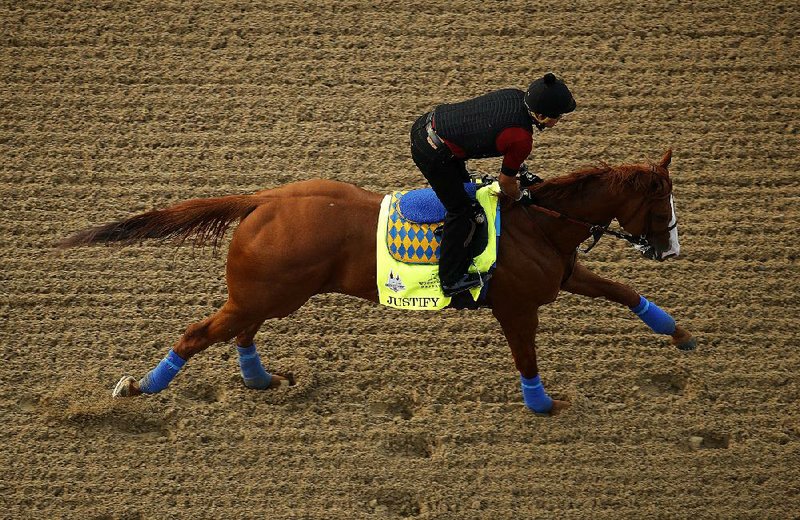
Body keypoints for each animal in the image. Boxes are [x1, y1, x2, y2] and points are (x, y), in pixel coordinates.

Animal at [59, 149, 692, 414]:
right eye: (662, 201)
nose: (670, 248)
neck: (538, 220)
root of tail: (262, 200)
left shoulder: (563, 274)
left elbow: (624, 293)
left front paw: (681, 333)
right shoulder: (516, 307)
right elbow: (527, 356)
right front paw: (542, 405)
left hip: (270, 294)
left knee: (241, 330)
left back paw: (260, 379)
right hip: (270, 292)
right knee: (198, 334)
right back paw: (140, 388)